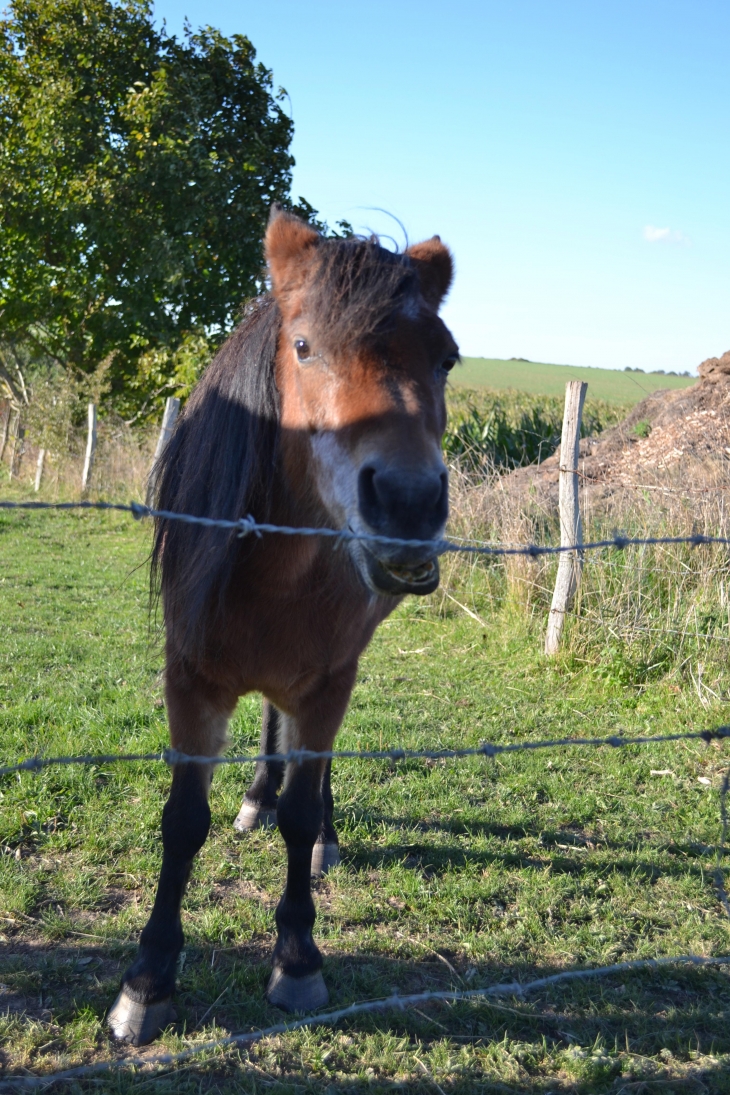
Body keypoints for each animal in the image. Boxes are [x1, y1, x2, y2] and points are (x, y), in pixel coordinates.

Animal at [107, 205, 461, 1042]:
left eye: (447, 360)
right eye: (304, 345)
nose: (408, 503)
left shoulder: (330, 678)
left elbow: (302, 808)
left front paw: (297, 959)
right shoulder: (190, 681)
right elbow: (182, 821)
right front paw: (147, 981)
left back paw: (318, 828)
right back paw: (254, 796)